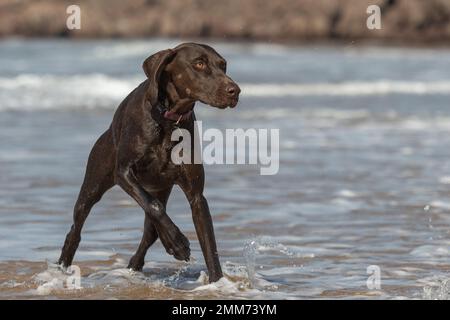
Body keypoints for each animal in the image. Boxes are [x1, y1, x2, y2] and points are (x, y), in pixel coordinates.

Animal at [58, 43, 241, 282]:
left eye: (223, 65)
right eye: (199, 63)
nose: (235, 91)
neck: (169, 120)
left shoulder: (197, 197)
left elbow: (209, 245)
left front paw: (217, 282)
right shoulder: (124, 173)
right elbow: (153, 207)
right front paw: (178, 242)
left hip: (160, 188)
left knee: (150, 231)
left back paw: (139, 262)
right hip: (93, 185)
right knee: (77, 227)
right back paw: (63, 264)